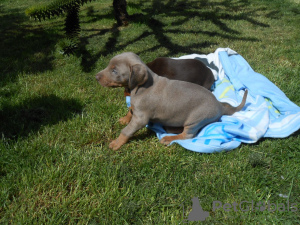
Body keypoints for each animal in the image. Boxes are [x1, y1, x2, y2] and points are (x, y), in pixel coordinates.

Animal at [95, 53, 247, 150]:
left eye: (114, 71)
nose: (96, 76)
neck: (141, 86)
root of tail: (220, 106)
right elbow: (130, 110)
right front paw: (125, 118)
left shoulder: (141, 118)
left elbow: (126, 131)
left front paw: (116, 143)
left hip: (195, 119)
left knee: (188, 135)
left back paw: (169, 138)